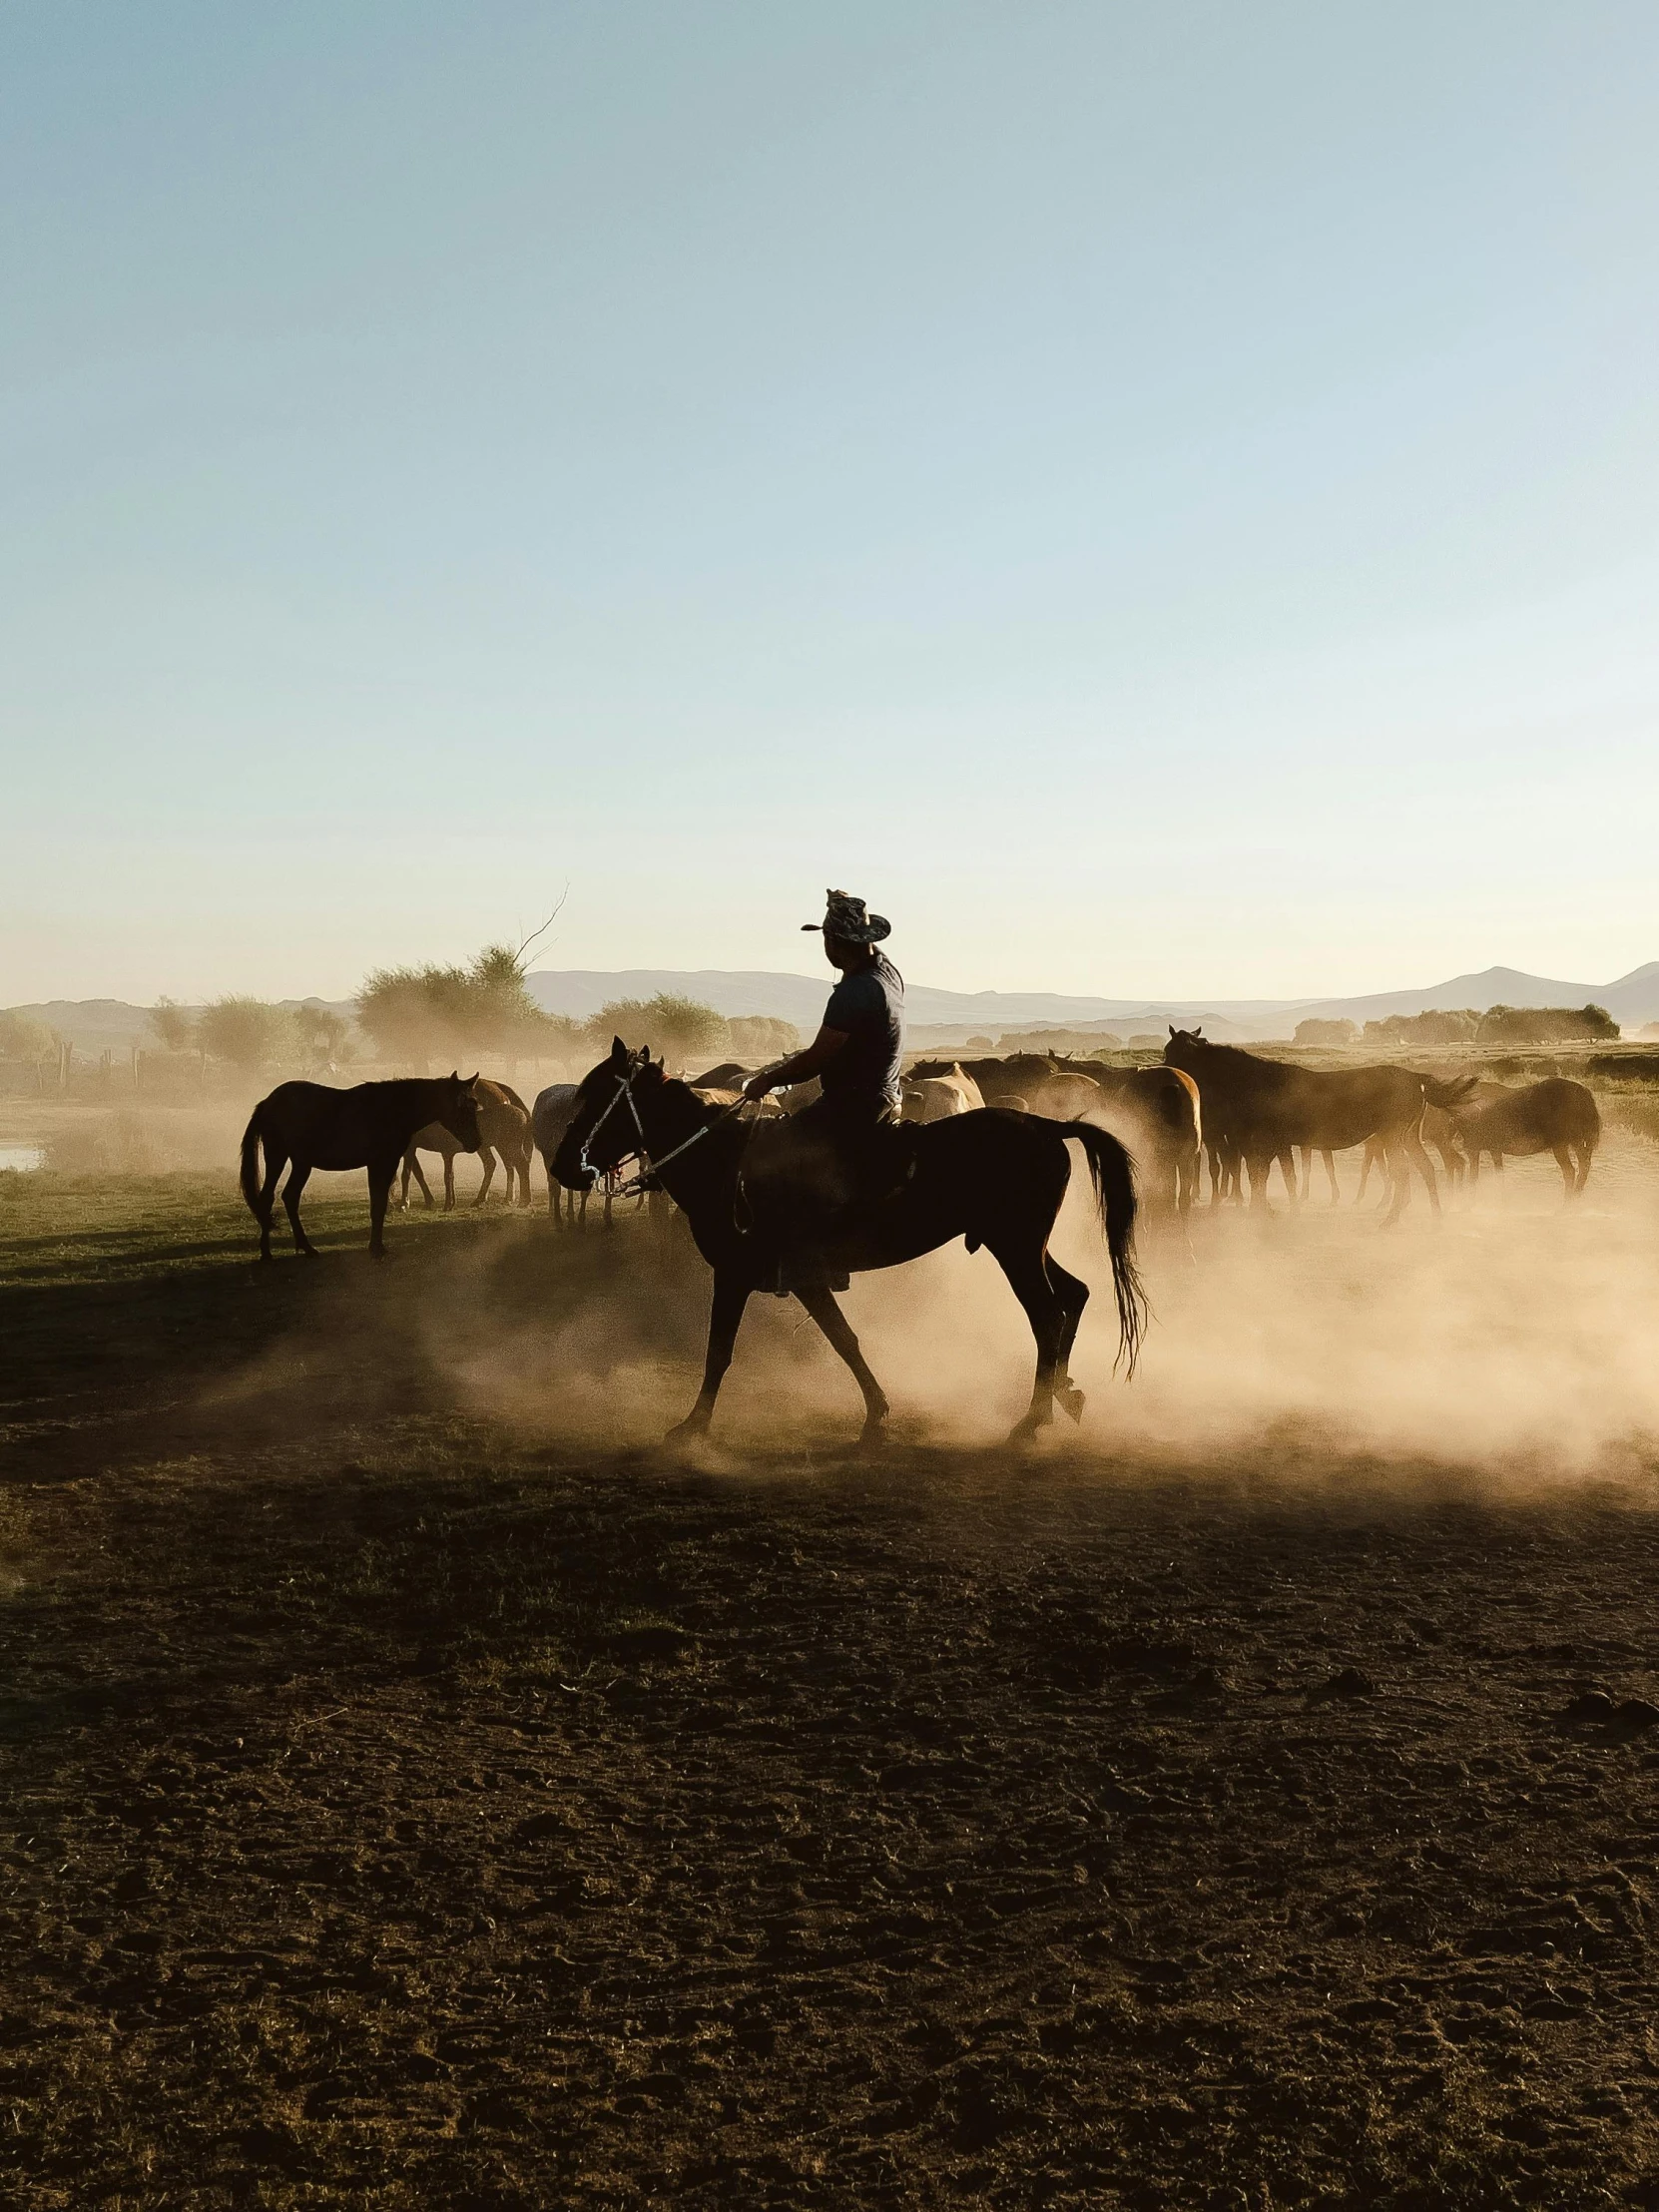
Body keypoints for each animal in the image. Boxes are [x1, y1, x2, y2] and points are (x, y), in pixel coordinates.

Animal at [243, 1074, 484, 1256]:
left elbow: (379, 1203)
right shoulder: (382, 1162)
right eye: (462, 1107)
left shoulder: (382, 1164)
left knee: (287, 1197)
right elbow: (379, 1205)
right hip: (279, 1157)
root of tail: (268, 1102)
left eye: (475, 1106)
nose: (476, 1142)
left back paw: (303, 1247)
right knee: (270, 1198)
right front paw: (377, 1248)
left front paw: (376, 1245)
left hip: (299, 1163)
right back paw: (269, 1251)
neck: (392, 1109)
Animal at [402, 1074, 533, 1212]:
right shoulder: (445, 1152)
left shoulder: (445, 1152)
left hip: (509, 1146)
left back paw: (522, 1201)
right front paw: (445, 1203)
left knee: (520, 1165)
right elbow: (443, 1174)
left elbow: (443, 1176)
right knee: (499, 1164)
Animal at [553, 1039, 1150, 1450]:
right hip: (1028, 1246)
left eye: (600, 1097)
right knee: (1074, 1296)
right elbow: (845, 1340)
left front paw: (692, 1426)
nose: (563, 1168)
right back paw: (1062, 1395)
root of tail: (1048, 1124)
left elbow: (721, 1350)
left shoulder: (740, 1274)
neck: (725, 1161)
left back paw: (1031, 1420)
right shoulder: (805, 1280)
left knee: (1047, 1315)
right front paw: (877, 1414)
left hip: (1016, 1249)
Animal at [1159, 1021, 1477, 1221]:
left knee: (1404, 1174)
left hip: (1392, 1139)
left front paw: (1267, 1211)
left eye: (1172, 1050)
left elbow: (1268, 1176)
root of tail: (1416, 1079)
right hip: (1409, 1138)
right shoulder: (1273, 1144)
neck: (1253, 1081)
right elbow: (1270, 1176)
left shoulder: (1266, 1143)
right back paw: (1433, 1216)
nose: (1168, 1075)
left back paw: (1391, 1218)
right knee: (1426, 1170)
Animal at [1459, 1070, 1601, 1194]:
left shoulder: (1474, 1148)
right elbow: (1497, 1178)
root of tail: (1586, 1095)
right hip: (1580, 1141)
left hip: (1563, 1143)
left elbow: (1473, 1181)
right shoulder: (1493, 1149)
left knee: (1571, 1171)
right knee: (1583, 1167)